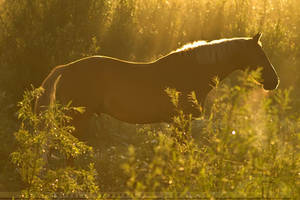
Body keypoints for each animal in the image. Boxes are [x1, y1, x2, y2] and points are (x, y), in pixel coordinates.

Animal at [35, 32, 278, 141]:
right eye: (260, 55)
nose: (274, 81)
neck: (193, 72)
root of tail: (66, 68)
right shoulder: (181, 121)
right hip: (74, 118)